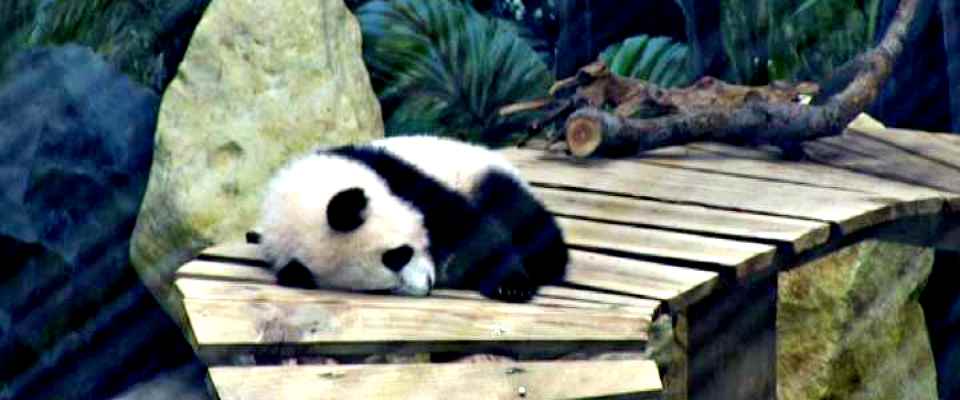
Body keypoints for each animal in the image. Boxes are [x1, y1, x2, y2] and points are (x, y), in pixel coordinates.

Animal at [256, 135, 569, 303]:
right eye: (384, 288)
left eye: (398, 255)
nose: (427, 286)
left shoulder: (400, 178)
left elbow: (471, 232)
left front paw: (510, 284)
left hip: (478, 173)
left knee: (522, 216)